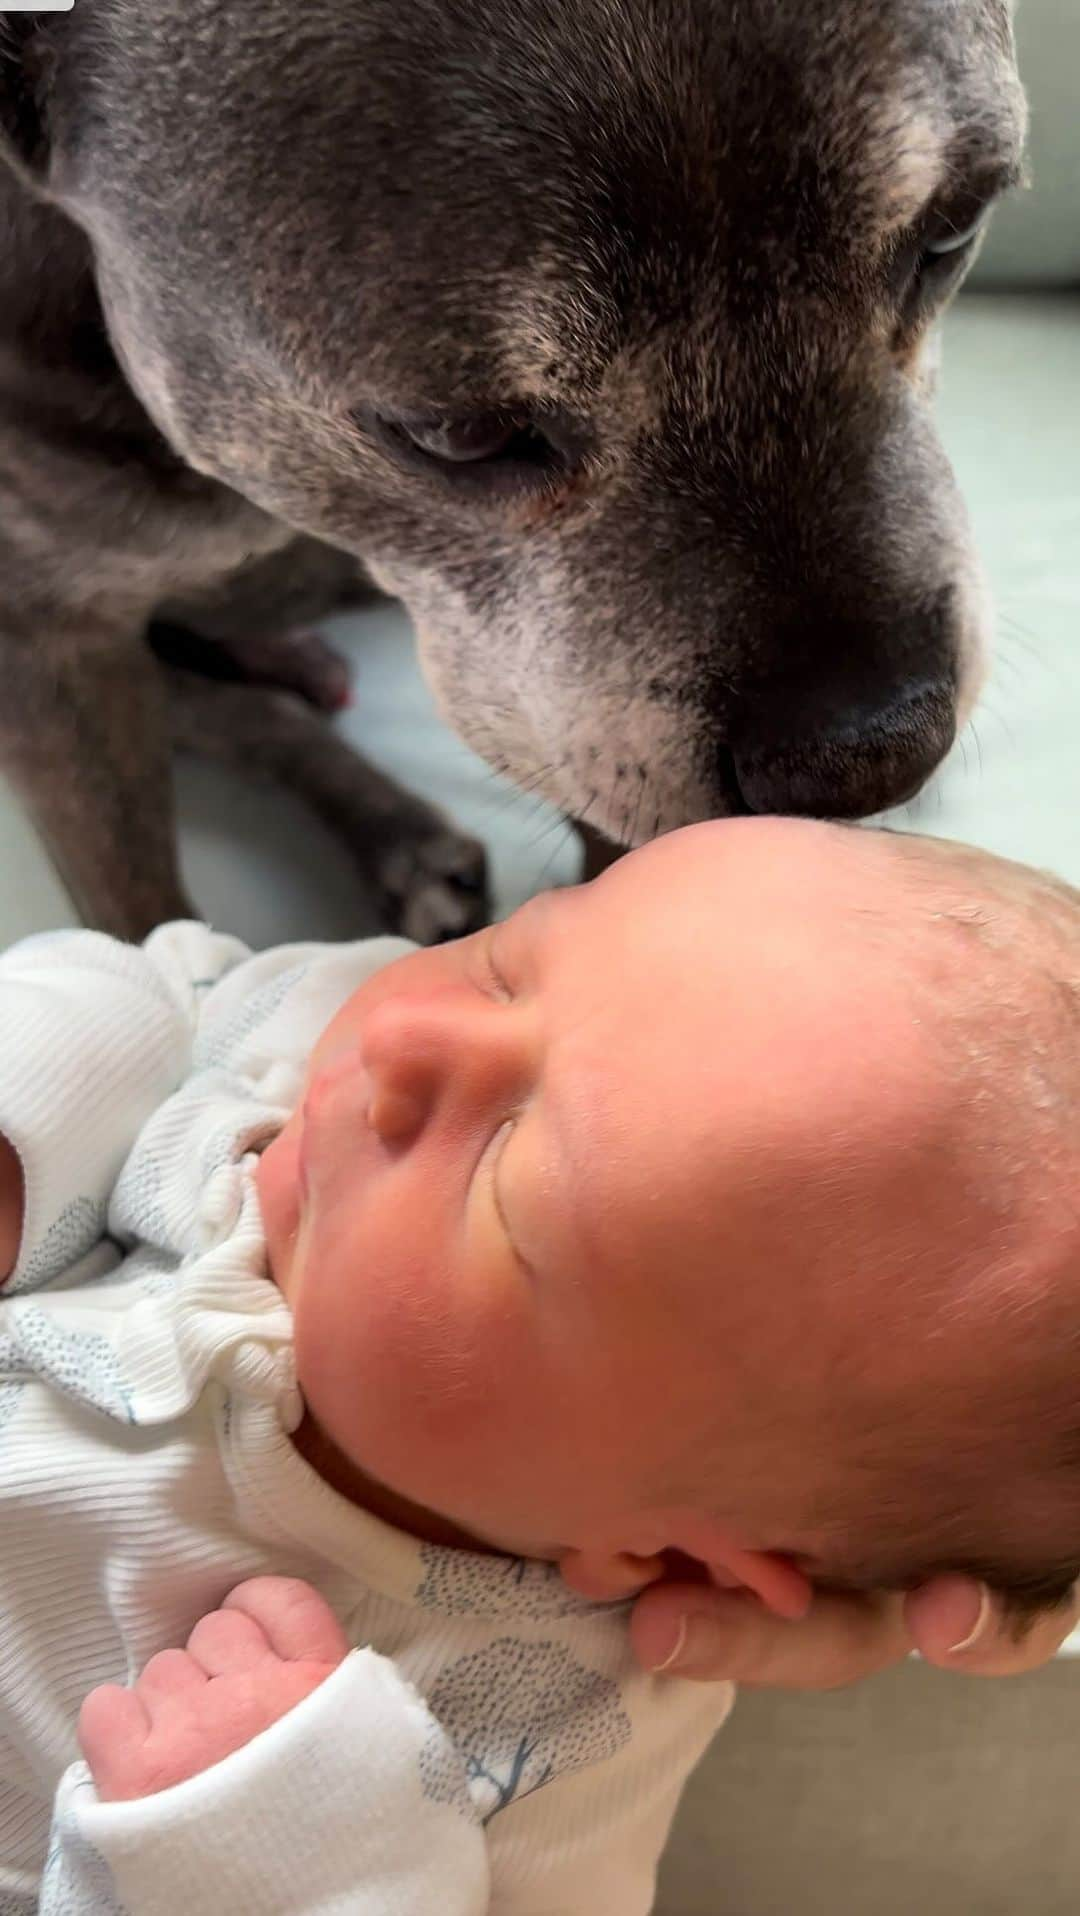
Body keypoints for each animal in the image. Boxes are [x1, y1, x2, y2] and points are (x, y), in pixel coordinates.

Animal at [0, 0, 1026, 942]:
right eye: (457, 434)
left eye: (952, 236)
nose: (875, 756)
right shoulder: (52, 652)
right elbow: (137, 917)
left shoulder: (577, 709)